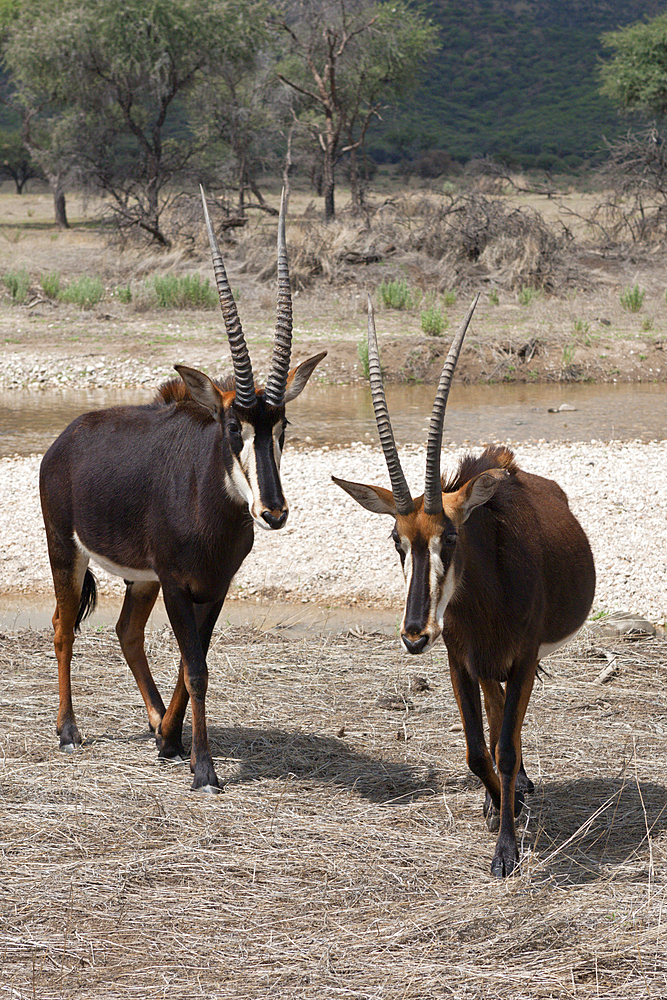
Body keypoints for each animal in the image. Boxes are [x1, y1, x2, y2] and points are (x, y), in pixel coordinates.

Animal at [40, 191, 328, 792]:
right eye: (233, 425)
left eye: (282, 425)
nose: (273, 512)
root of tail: (65, 438)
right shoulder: (177, 583)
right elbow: (195, 667)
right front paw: (204, 768)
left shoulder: (213, 587)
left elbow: (192, 661)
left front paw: (171, 742)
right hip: (67, 549)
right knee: (61, 626)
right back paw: (68, 731)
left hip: (141, 578)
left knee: (126, 631)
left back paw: (154, 727)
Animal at [332, 296, 596, 876]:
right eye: (396, 539)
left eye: (450, 536)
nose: (414, 635)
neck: (486, 598)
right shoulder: (461, 660)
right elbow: (478, 751)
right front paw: (502, 809)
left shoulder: (523, 658)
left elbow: (504, 748)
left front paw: (507, 850)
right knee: (497, 723)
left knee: (509, 730)